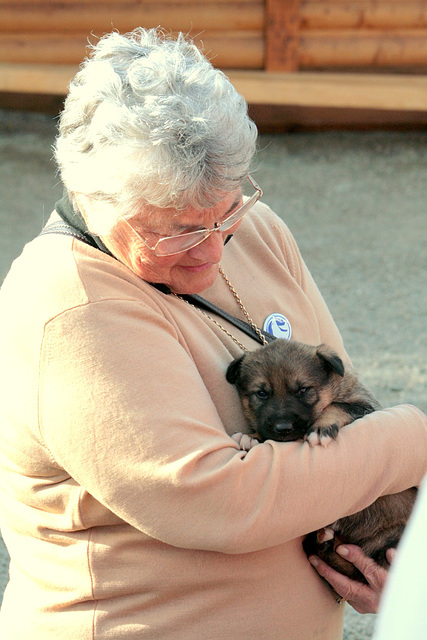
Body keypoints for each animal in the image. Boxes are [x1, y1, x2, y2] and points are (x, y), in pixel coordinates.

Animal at [227, 342, 418, 584]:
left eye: (302, 390)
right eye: (261, 393)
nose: (283, 427)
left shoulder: (365, 406)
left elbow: (337, 405)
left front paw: (321, 427)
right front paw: (251, 437)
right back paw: (323, 540)